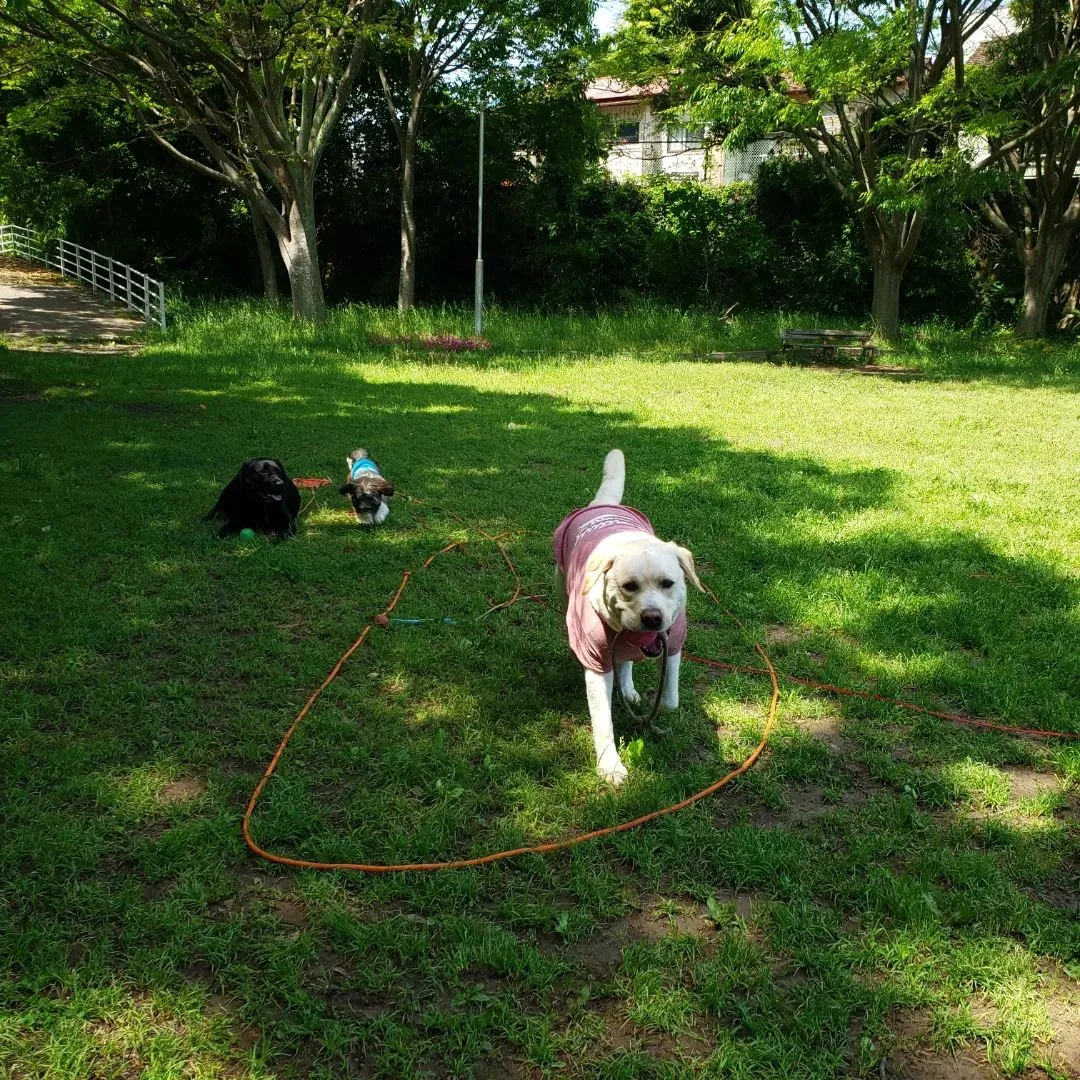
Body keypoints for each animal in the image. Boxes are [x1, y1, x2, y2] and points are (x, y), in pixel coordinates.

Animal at [552, 447, 704, 786]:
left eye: (667, 583)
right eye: (628, 586)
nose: (652, 618)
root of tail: (603, 504)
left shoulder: (673, 646)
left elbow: (670, 699)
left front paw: (649, 698)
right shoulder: (597, 664)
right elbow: (602, 721)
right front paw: (610, 766)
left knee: (626, 661)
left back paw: (630, 690)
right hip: (561, 585)